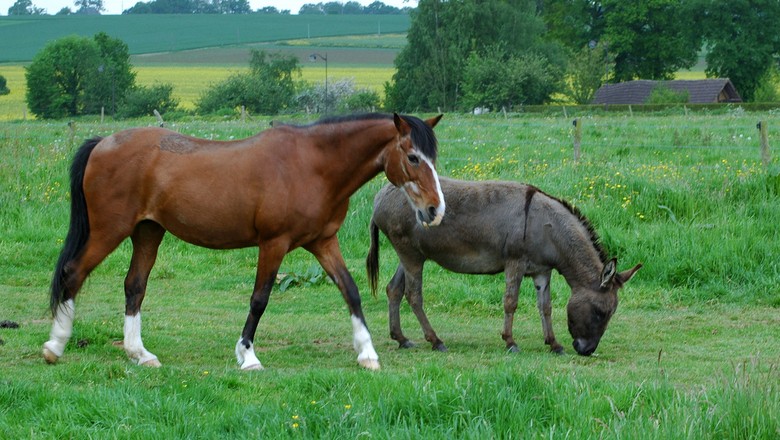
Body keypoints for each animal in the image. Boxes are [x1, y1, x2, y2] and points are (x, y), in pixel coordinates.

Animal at [43, 112, 446, 371]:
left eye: (433, 156)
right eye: (413, 157)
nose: (435, 209)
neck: (312, 165)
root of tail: (103, 142)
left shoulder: (322, 242)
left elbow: (350, 291)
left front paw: (367, 354)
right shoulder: (274, 243)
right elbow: (260, 299)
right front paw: (248, 355)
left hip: (147, 231)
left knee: (134, 286)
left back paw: (140, 354)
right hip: (110, 230)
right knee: (73, 273)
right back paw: (55, 346)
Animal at [367, 177, 641, 356]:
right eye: (600, 313)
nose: (587, 351)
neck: (547, 227)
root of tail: (381, 194)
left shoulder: (542, 271)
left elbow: (546, 307)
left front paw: (553, 344)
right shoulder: (515, 263)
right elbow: (511, 302)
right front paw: (510, 342)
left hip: (412, 254)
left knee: (394, 290)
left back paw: (401, 339)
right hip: (410, 254)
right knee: (414, 295)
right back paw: (435, 341)